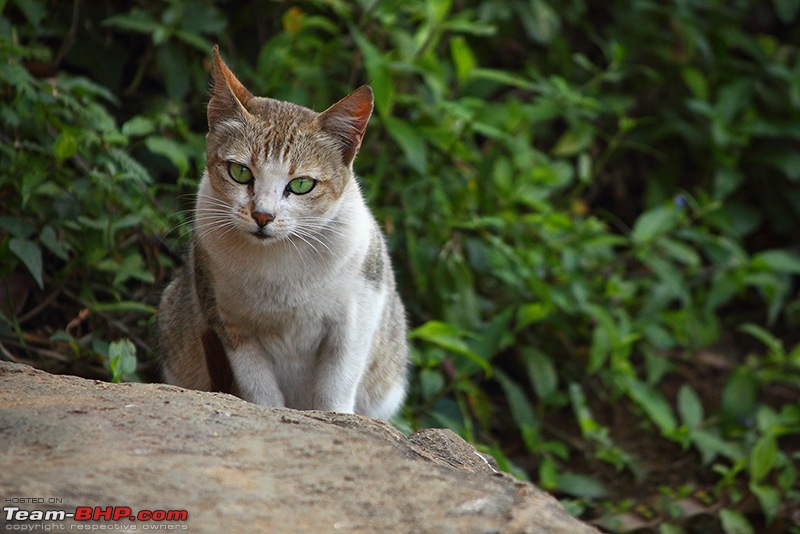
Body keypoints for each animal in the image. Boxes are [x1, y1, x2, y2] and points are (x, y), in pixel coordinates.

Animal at [157, 47, 410, 422]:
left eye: (302, 184)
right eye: (239, 172)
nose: (262, 215)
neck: (279, 266)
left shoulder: (359, 310)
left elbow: (337, 383)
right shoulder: (228, 322)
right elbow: (259, 388)